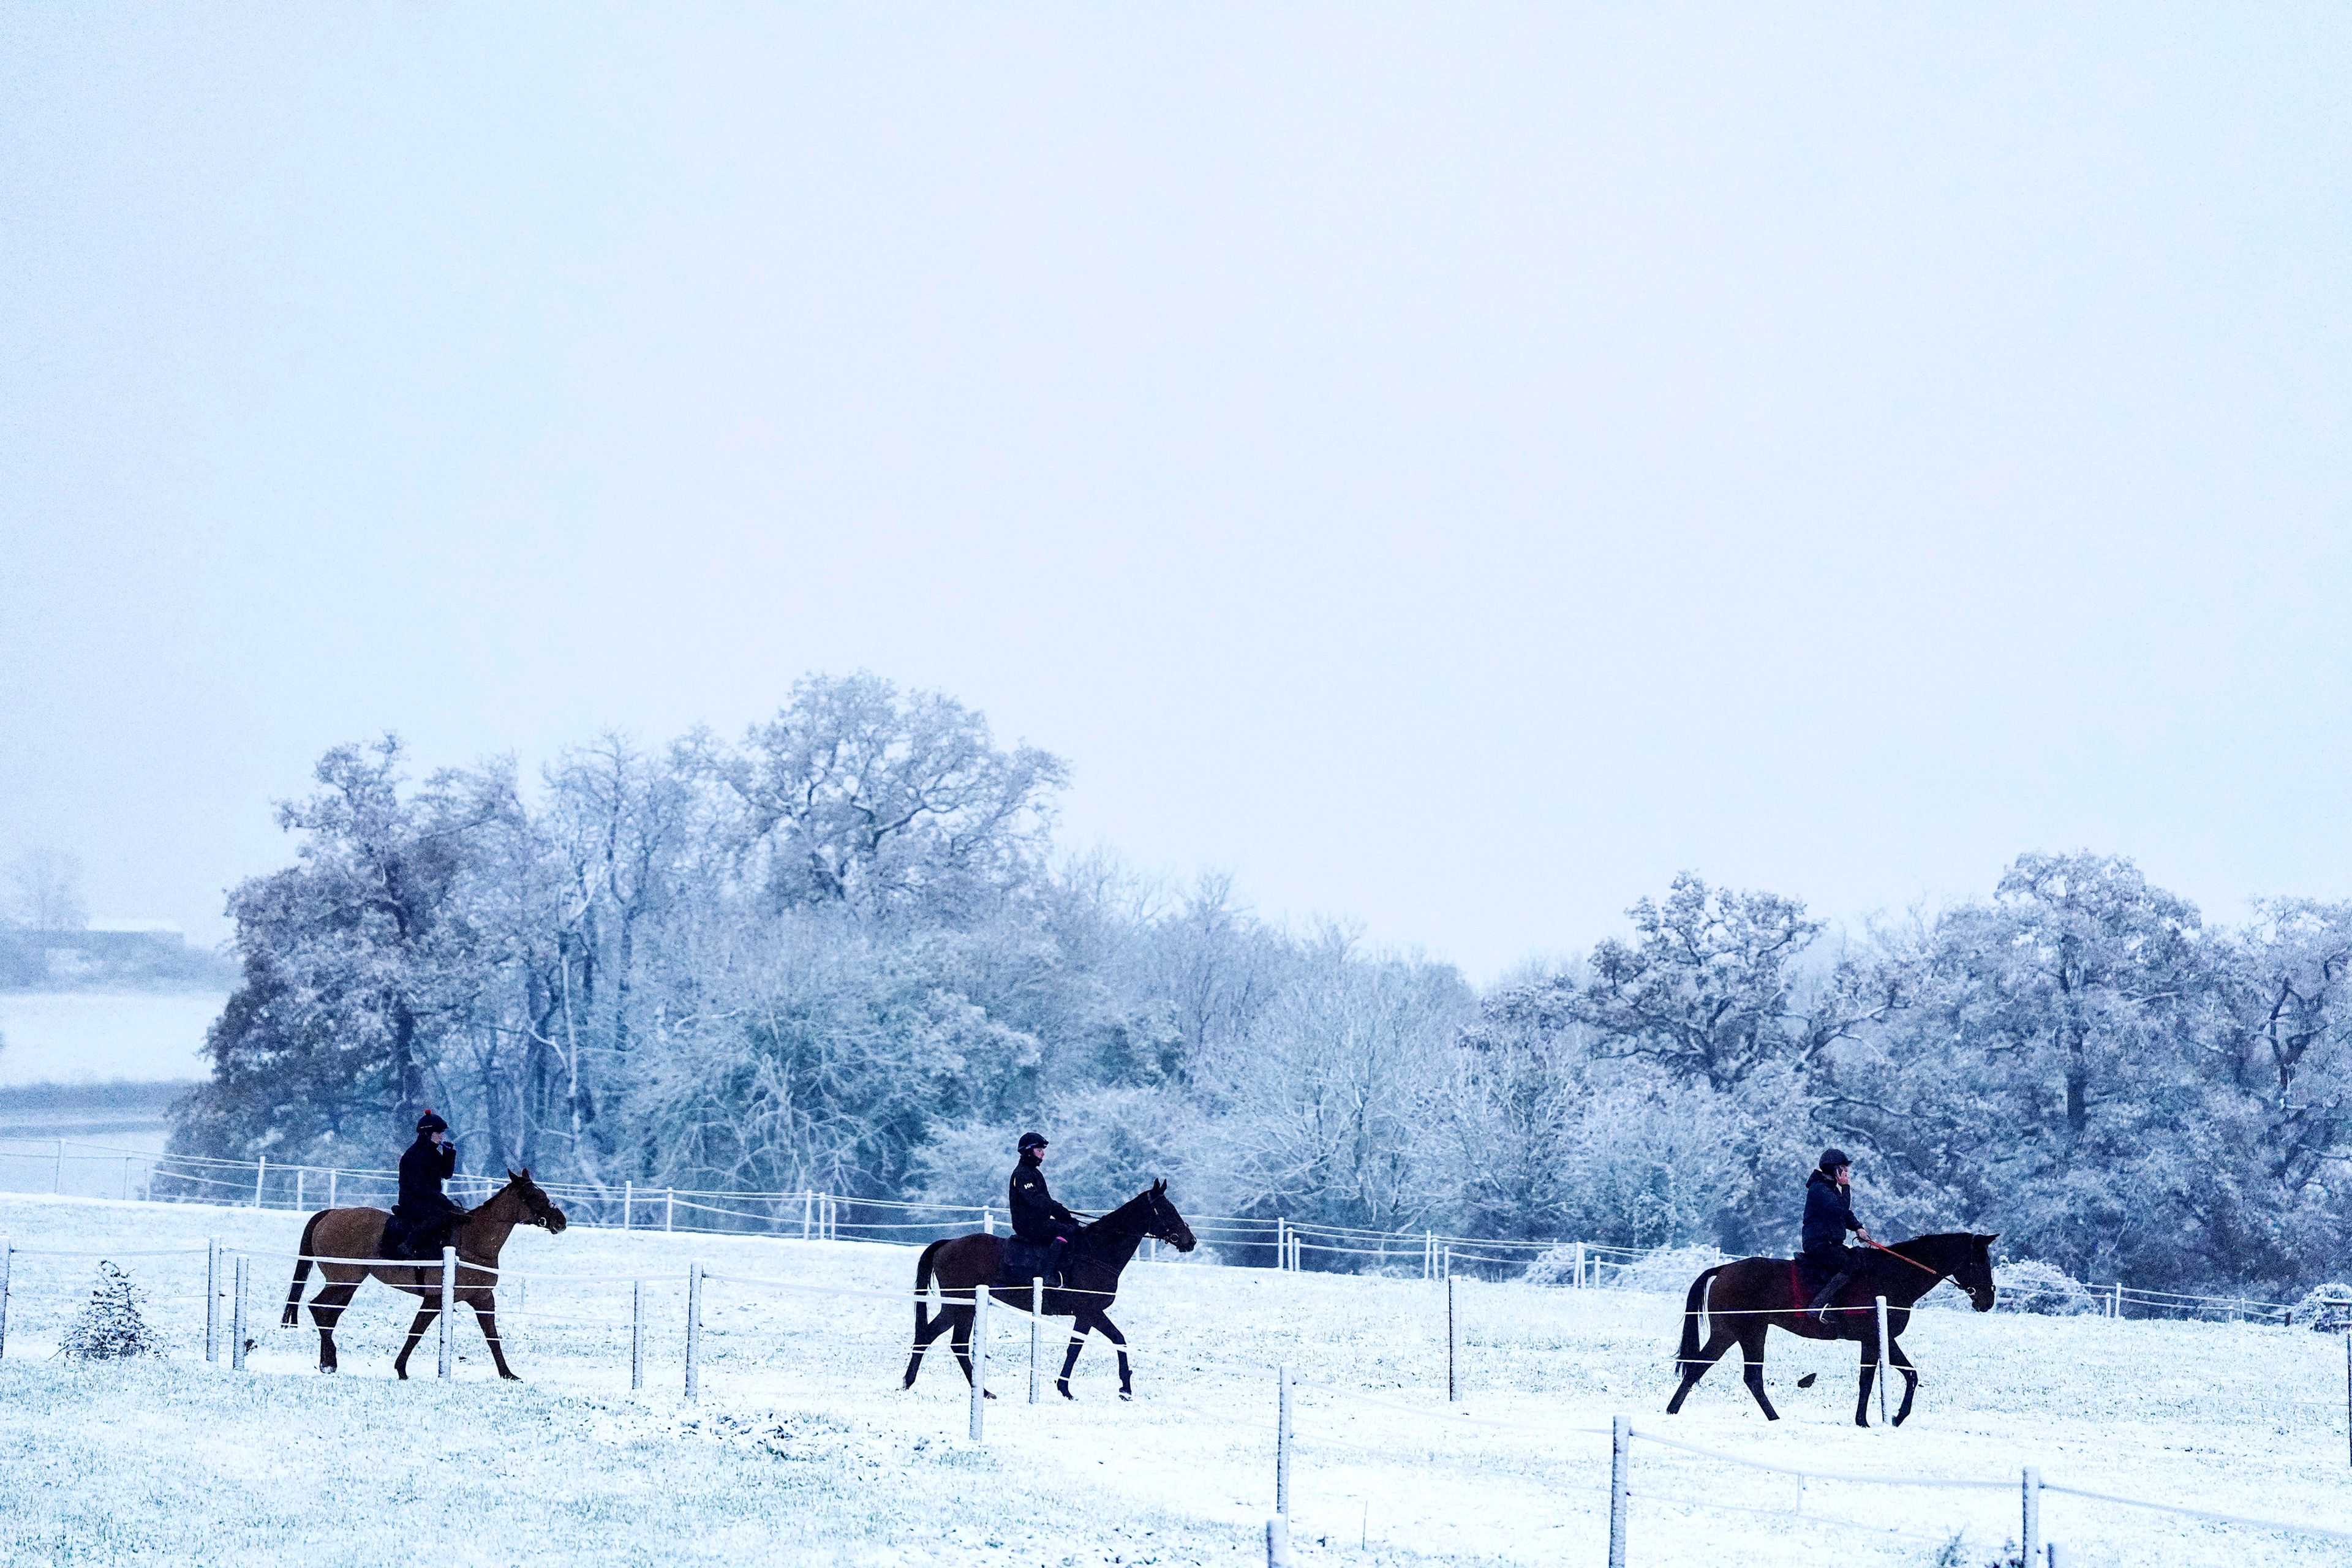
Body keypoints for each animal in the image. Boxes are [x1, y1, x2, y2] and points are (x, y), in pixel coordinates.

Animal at [275, 1170, 564, 1382]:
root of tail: (330, 1214)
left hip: (348, 1285)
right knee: (318, 1309)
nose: (560, 1221)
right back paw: (329, 1361)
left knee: (327, 1314)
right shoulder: (434, 1300)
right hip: (344, 1281)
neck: (472, 1241)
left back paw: (328, 1361)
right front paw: (401, 1369)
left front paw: (507, 1374)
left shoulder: (483, 1300)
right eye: (532, 1195)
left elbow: (492, 1337)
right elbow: (416, 1332)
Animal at [898, 1185, 1194, 1401]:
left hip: (964, 1306)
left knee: (951, 1342)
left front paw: (1112, 1388)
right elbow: (1094, 1345)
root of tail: (948, 1244)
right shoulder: (1089, 1312)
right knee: (933, 1337)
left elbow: (1094, 1344)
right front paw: (1112, 1389)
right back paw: (913, 1382)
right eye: (1166, 1209)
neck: (1096, 1250)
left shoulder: (1087, 1316)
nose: (1190, 1241)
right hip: (960, 1305)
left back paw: (979, 1390)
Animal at [1665, 1232, 1994, 1429]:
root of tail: (1724, 1269)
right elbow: (1872, 1380)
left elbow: (1902, 1375)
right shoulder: (1874, 1339)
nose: (1988, 1300)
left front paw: (1890, 1418)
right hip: (1745, 1332)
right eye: (1978, 1261)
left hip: (1736, 1334)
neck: (1892, 1276)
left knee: (1713, 1371)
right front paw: (1874, 1420)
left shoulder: (1881, 1339)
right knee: (1734, 1374)